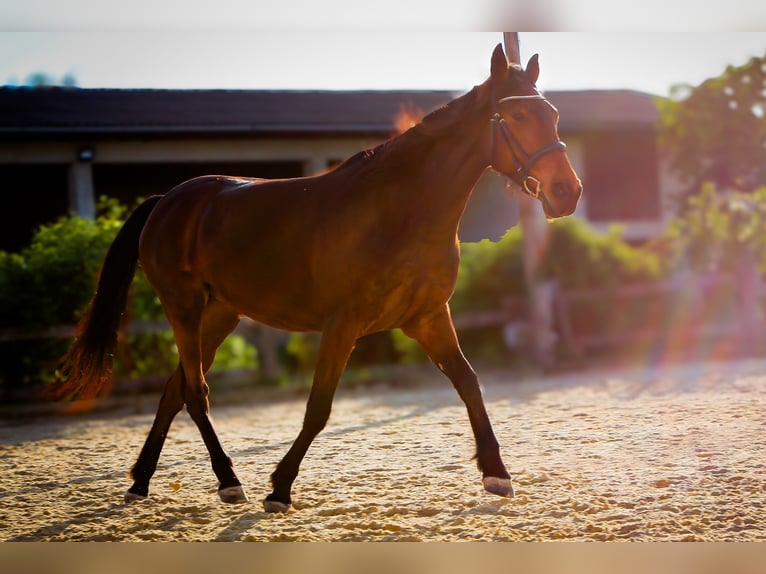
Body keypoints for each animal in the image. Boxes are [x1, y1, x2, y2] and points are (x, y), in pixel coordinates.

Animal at [46, 44, 584, 512]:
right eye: (517, 116)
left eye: (554, 115)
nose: (566, 191)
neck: (399, 214)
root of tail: (168, 200)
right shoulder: (343, 325)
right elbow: (319, 406)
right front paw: (280, 488)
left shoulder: (429, 318)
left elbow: (470, 384)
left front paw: (497, 474)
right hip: (183, 308)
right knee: (196, 394)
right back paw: (228, 481)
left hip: (219, 315)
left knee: (174, 390)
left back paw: (141, 481)